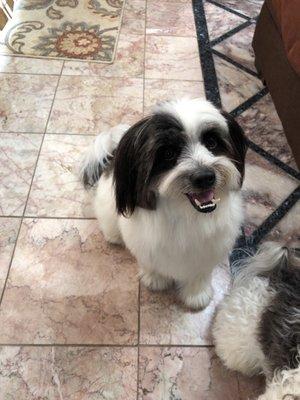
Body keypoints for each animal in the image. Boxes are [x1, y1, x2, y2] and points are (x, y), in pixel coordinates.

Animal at [79, 97, 246, 310]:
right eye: (168, 153)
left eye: (212, 142)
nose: (205, 177)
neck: (185, 212)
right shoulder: (145, 243)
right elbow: (151, 263)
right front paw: (155, 280)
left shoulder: (207, 251)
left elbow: (199, 272)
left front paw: (196, 294)